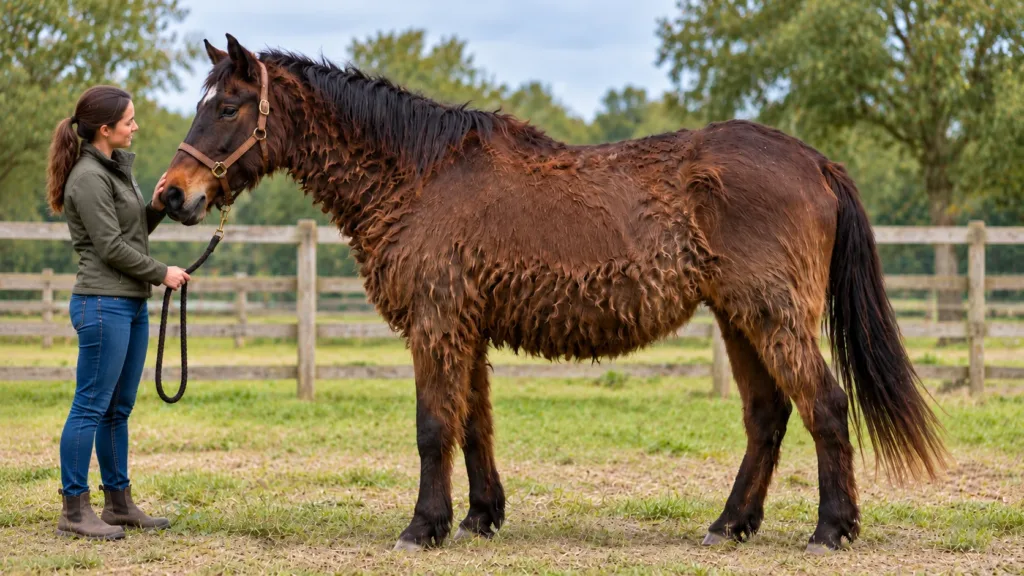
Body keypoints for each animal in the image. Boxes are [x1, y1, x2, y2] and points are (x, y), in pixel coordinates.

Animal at [161, 34, 948, 553]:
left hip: (771, 316)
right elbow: (473, 425)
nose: (172, 195)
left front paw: (423, 527)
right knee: (767, 417)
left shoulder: (437, 322)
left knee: (824, 406)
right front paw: (479, 517)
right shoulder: (466, 327)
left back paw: (831, 529)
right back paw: (730, 525)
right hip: (737, 318)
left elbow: (433, 426)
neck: (421, 174)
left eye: (229, 107)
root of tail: (814, 159)